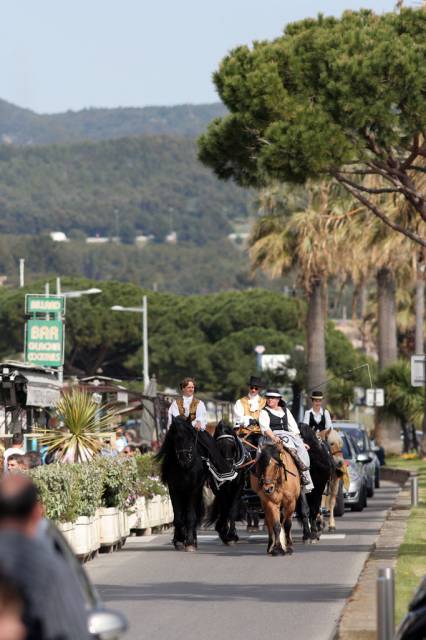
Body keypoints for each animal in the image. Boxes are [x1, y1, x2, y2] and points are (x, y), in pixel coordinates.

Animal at [156, 416, 207, 552]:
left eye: (192, 436)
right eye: (176, 438)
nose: (186, 460)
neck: (184, 470)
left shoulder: (193, 490)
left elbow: (190, 516)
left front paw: (189, 542)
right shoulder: (174, 490)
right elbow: (178, 517)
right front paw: (179, 540)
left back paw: (193, 539)